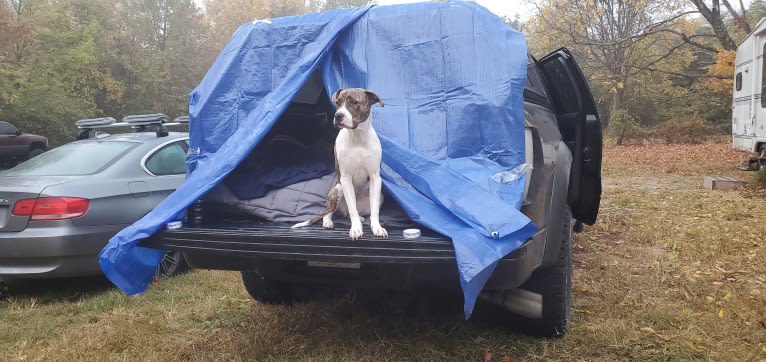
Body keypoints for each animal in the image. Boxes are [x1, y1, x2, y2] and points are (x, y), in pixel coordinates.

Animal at [294, 87, 390, 240]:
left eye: (354, 102)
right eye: (338, 103)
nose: (338, 115)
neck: (357, 137)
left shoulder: (375, 177)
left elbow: (374, 210)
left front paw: (377, 228)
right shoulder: (345, 178)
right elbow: (352, 208)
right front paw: (356, 229)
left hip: (379, 196)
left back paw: (361, 219)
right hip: (337, 190)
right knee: (331, 211)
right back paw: (328, 222)